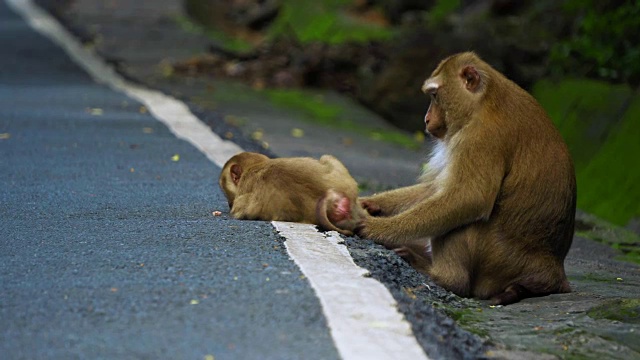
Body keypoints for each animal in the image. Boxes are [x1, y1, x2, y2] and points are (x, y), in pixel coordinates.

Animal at [358, 52, 576, 306]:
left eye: (434, 95)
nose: (426, 119)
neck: (485, 101)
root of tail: (553, 271)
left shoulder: (481, 138)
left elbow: (468, 198)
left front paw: (377, 228)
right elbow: (437, 189)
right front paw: (370, 203)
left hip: (497, 263)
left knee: (463, 217)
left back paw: (442, 276)